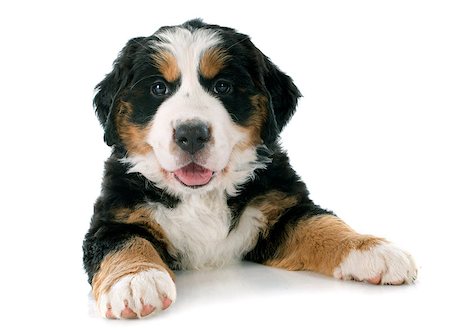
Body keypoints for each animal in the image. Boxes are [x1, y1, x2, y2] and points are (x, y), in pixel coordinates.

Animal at [82, 18, 416, 320]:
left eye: (223, 86)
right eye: (158, 88)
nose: (191, 134)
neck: (202, 197)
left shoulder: (281, 208)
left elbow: (322, 224)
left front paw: (371, 249)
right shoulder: (115, 217)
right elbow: (125, 242)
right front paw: (134, 281)